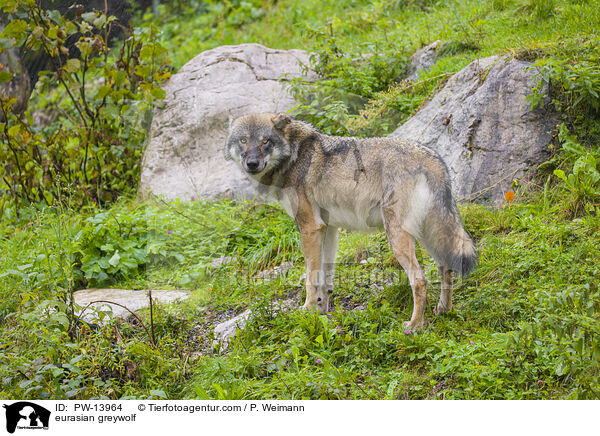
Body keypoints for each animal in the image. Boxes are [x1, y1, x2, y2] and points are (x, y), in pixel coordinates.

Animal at [223, 113, 476, 330]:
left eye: (265, 141)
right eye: (243, 140)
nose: (252, 163)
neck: (293, 155)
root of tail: (433, 160)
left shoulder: (309, 227)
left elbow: (311, 277)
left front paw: (306, 310)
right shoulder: (328, 229)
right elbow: (325, 279)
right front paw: (321, 312)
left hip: (398, 237)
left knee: (421, 280)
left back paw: (414, 326)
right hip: (428, 235)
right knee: (446, 266)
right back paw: (443, 310)